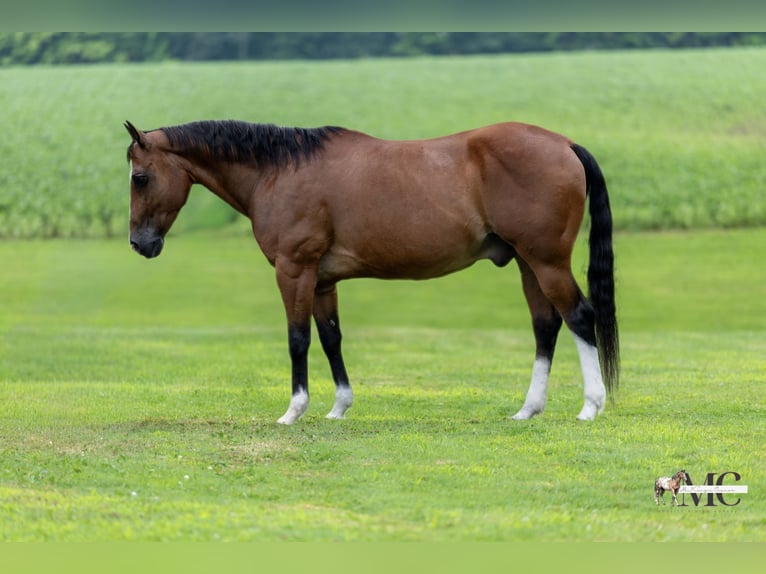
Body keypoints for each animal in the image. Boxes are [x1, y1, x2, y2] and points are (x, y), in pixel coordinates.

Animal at [124, 119, 619, 425]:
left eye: (140, 177)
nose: (139, 244)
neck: (278, 172)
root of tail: (564, 144)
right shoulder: (322, 280)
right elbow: (331, 338)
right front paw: (339, 407)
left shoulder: (294, 270)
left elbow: (298, 338)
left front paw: (294, 411)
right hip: (526, 263)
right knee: (545, 325)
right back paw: (528, 409)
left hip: (546, 261)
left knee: (579, 316)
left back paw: (591, 406)